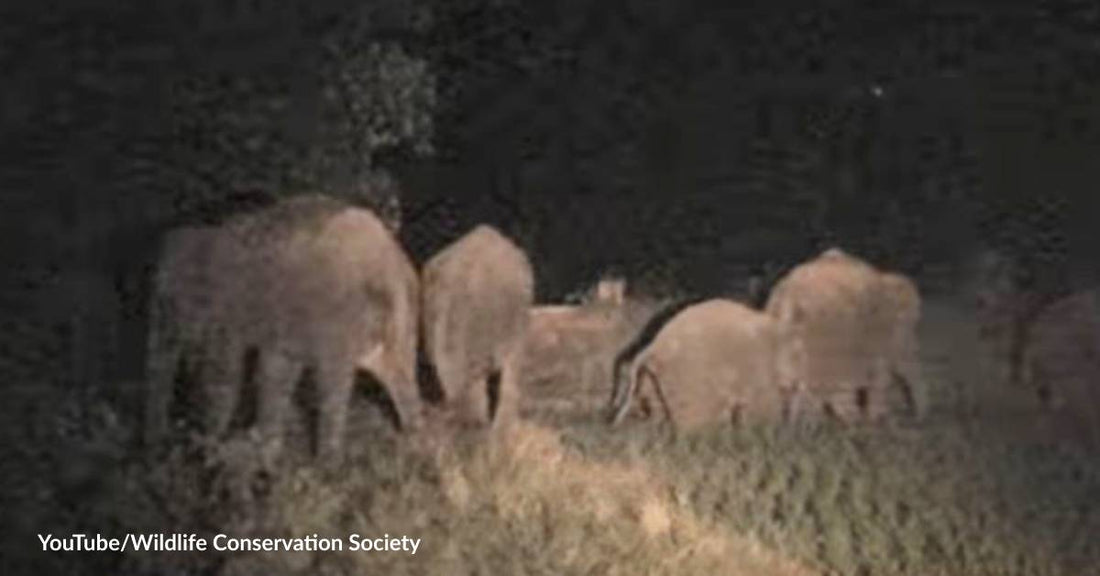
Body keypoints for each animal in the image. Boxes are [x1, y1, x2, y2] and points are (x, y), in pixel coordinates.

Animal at [145, 194, 421, 459]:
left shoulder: (231, 312)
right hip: (402, 320)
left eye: (166, 300)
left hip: (342, 320)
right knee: (394, 371)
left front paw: (211, 447)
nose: (160, 448)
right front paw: (264, 451)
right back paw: (416, 441)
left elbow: (225, 373)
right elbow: (275, 369)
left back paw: (328, 463)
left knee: (332, 383)